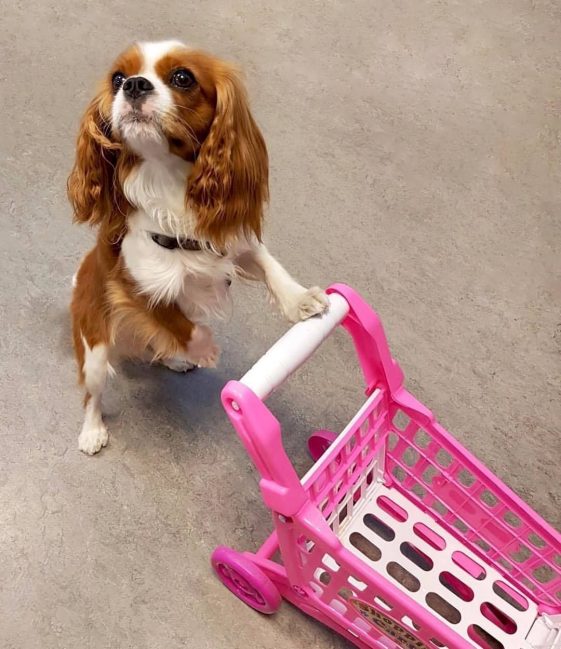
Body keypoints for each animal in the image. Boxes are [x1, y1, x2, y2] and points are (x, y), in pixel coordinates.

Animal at [68, 41, 328, 456]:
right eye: (117, 79)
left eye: (182, 78)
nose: (134, 85)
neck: (167, 179)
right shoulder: (131, 285)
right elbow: (177, 320)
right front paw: (204, 348)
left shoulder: (231, 241)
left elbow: (270, 265)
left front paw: (300, 300)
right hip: (94, 348)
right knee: (93, 394)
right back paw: (92, 431)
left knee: (153, 345)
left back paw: (173, 359)